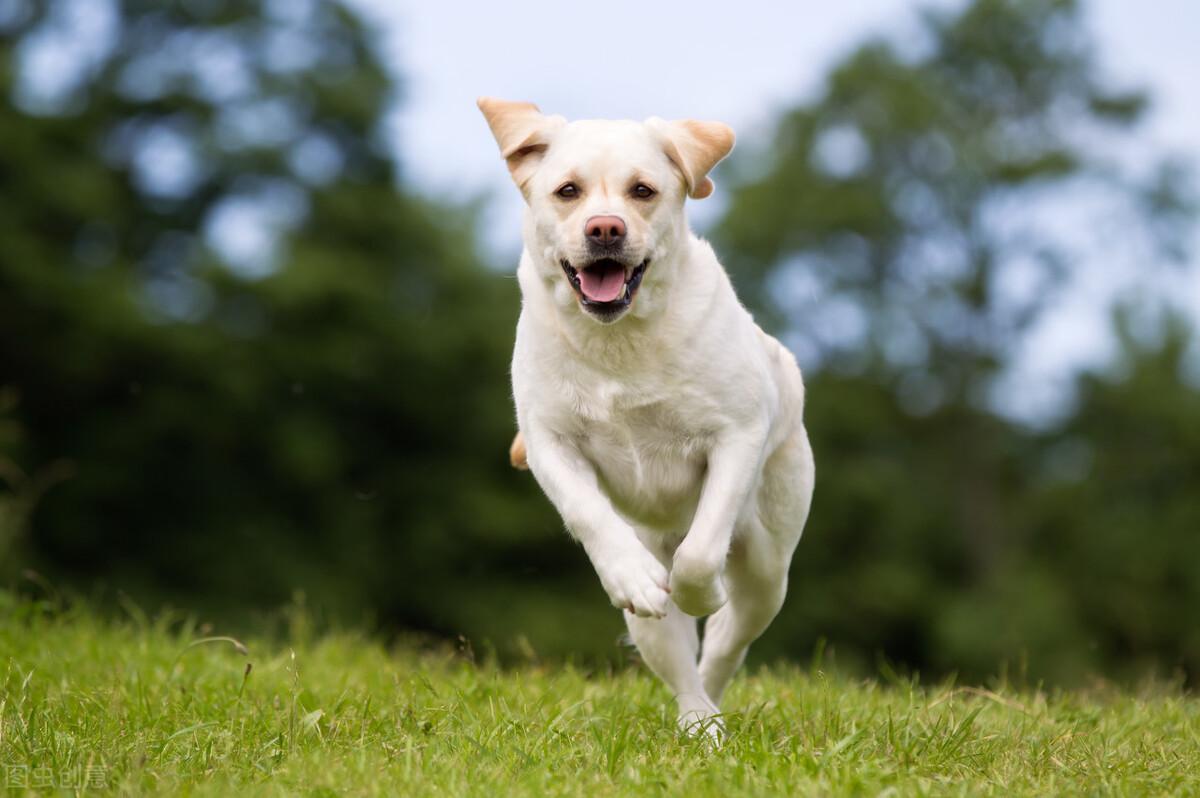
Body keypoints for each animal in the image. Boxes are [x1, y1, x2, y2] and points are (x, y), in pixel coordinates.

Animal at [477, 99, 816, 739]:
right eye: (568, 191)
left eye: (643, 191)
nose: (605, 229)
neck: (620, 341)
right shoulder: (550, 441)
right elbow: (588, 513)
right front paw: (633, 578)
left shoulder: (736, 435)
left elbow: (702, 554)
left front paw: (699, 592)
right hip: (650, 609)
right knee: (677, 657)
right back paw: (698, 719)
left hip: (769, 569)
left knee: (723, 644)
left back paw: (709, 707)